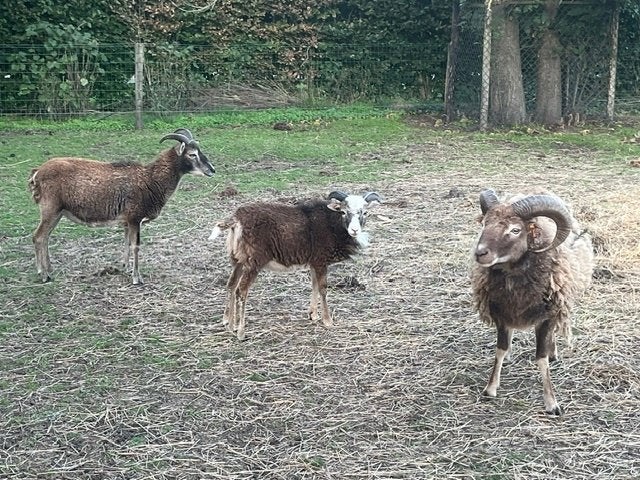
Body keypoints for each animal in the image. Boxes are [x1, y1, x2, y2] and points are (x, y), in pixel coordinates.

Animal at [28, 128, 214, 285]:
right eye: (192, 154)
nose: (212, 170)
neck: (150, 180)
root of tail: (37, 174)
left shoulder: (127, 221)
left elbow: (126, 243)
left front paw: (126, 268)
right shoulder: (135, 219)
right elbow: (135, 246)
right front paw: (137, 278)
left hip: (57, 213)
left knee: (46, 237)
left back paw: (49, 269)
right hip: (50, 209)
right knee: (38, 237)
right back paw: (43, 274)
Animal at [209, 190, 383, 340]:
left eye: (364, 213)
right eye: (344, 212)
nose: (354, 230)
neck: (333, 225)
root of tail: (236, 219)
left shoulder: (314, 262)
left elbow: (314, 285)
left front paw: (313, 315)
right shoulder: (320, 261)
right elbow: (323, 289)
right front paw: (327, 321)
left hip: (238, 259)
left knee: (231, 285)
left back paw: (229, 323)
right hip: (253, 263)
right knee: (241, 291)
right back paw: (240, 332)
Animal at [471, 188, 594, 415]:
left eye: (515, 229)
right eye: (485, 223)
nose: (480, 253)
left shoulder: (546, 317)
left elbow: (541, 358)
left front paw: (551, 403)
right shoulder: (500, 313)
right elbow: (500, 349)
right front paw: (491, 388)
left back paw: (553, 352)